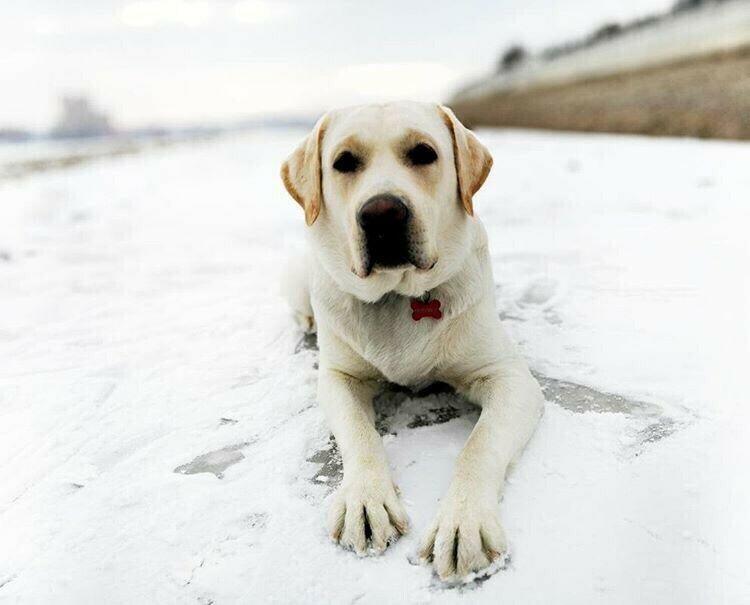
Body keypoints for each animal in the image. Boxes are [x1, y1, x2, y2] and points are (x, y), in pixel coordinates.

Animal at [280, 100, 544, 580]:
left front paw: (463, 522)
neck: (399, 295)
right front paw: (365, 501)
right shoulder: (338, 377)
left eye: (423, 153)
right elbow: (359, 435)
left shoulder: (509, 378)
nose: (382, 213)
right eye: (344, 162)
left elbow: (479, 445)